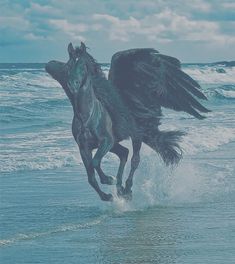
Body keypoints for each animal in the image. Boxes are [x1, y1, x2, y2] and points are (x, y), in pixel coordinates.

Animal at [45, 42, 209, 201]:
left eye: (83, 65)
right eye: (68, 65)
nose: (72, 85)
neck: (87, 116)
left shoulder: (106, 141)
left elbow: (95, 163)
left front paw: (108, 180)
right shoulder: (84, 148)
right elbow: (91, 176)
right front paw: (107, 196)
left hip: (134, 136)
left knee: (134, 159)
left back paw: (127, 189)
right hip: (116, 144)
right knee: (124, 153)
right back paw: (120, 189)